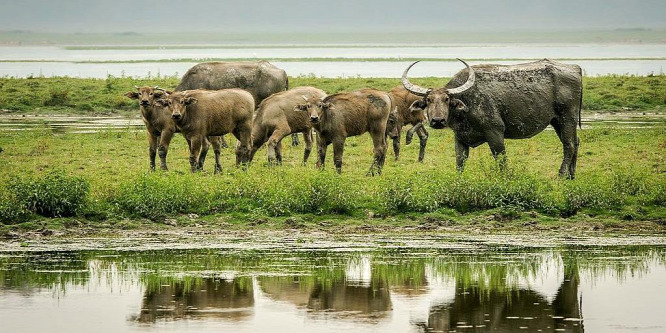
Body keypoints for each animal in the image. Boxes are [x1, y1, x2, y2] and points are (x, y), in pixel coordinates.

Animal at [400, 59, 580, 179]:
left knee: (569, 144)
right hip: (556, 122)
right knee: (575, 142)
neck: (467, 103)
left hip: (567, 118)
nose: (437, 121)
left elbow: (501, 159)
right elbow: (460, 161)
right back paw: (571, 175)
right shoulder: (460, 137)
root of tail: (575, 68)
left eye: (446, 99)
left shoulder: (495, 133)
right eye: (429, 100)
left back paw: (561, 175)